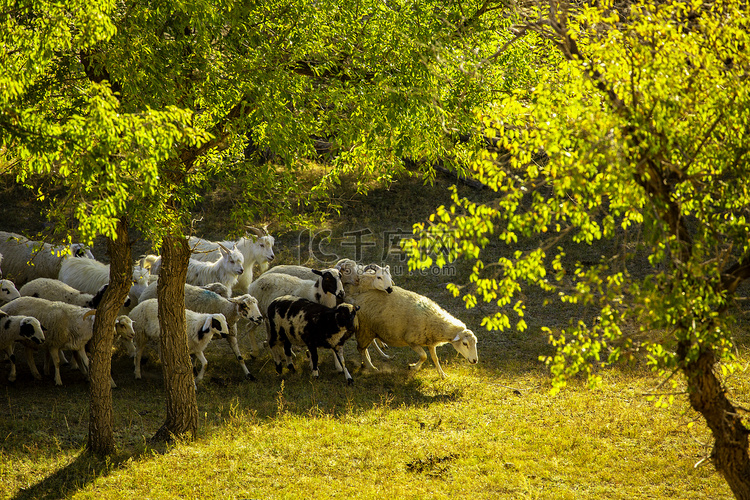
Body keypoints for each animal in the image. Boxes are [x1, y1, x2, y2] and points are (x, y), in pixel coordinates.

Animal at [350, 286, 478, 378]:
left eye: (475, 343)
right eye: (465, 343)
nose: (475, 360)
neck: (432, 319)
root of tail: (356, 300)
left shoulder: (430, 343)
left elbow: (435, 359)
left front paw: (442, 374)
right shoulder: (411, 341)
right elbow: (424, 356)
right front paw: (413, 367)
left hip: (370, 329)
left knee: (366, 347)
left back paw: (374, 359)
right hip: (365, 329)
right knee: (360, 349)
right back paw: (371, 367)